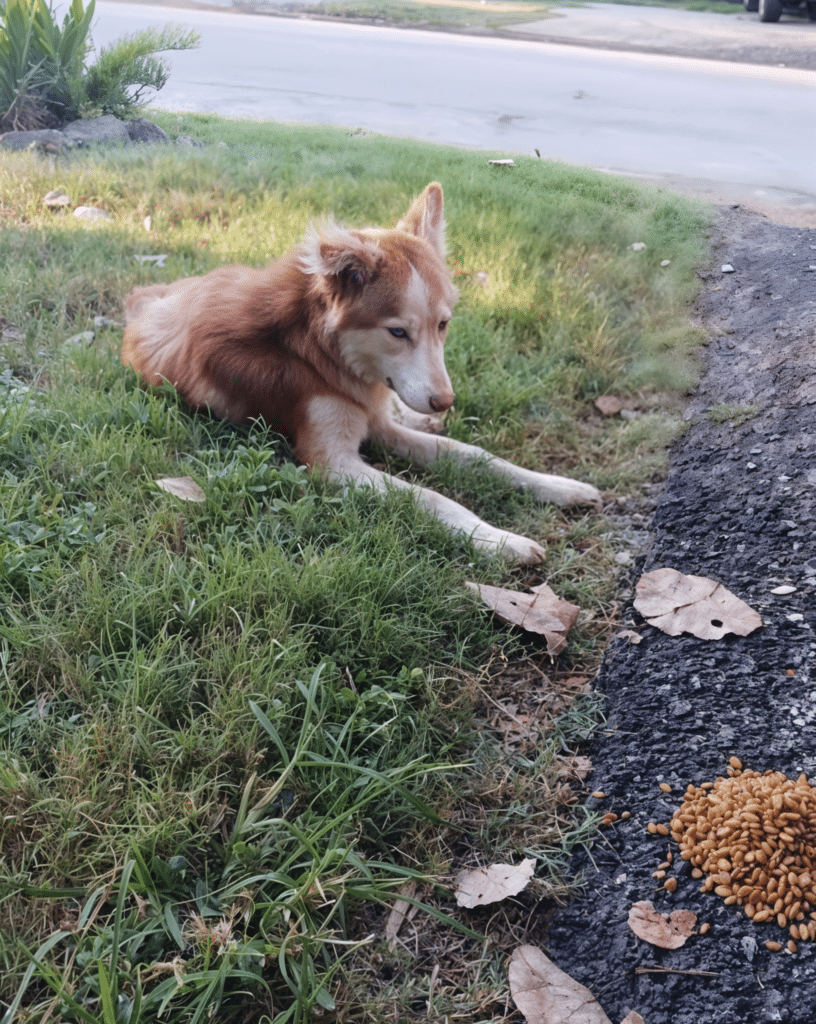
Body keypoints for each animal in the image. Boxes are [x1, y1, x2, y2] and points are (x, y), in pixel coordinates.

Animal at [120, 186, 597, 569]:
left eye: (443, 325)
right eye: (398, 332)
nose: (445, 401)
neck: (316, 348)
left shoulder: (381, 423)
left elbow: (476, 455)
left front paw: (560, 486)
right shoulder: (332, 461)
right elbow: (429, 495)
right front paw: (500, 540)